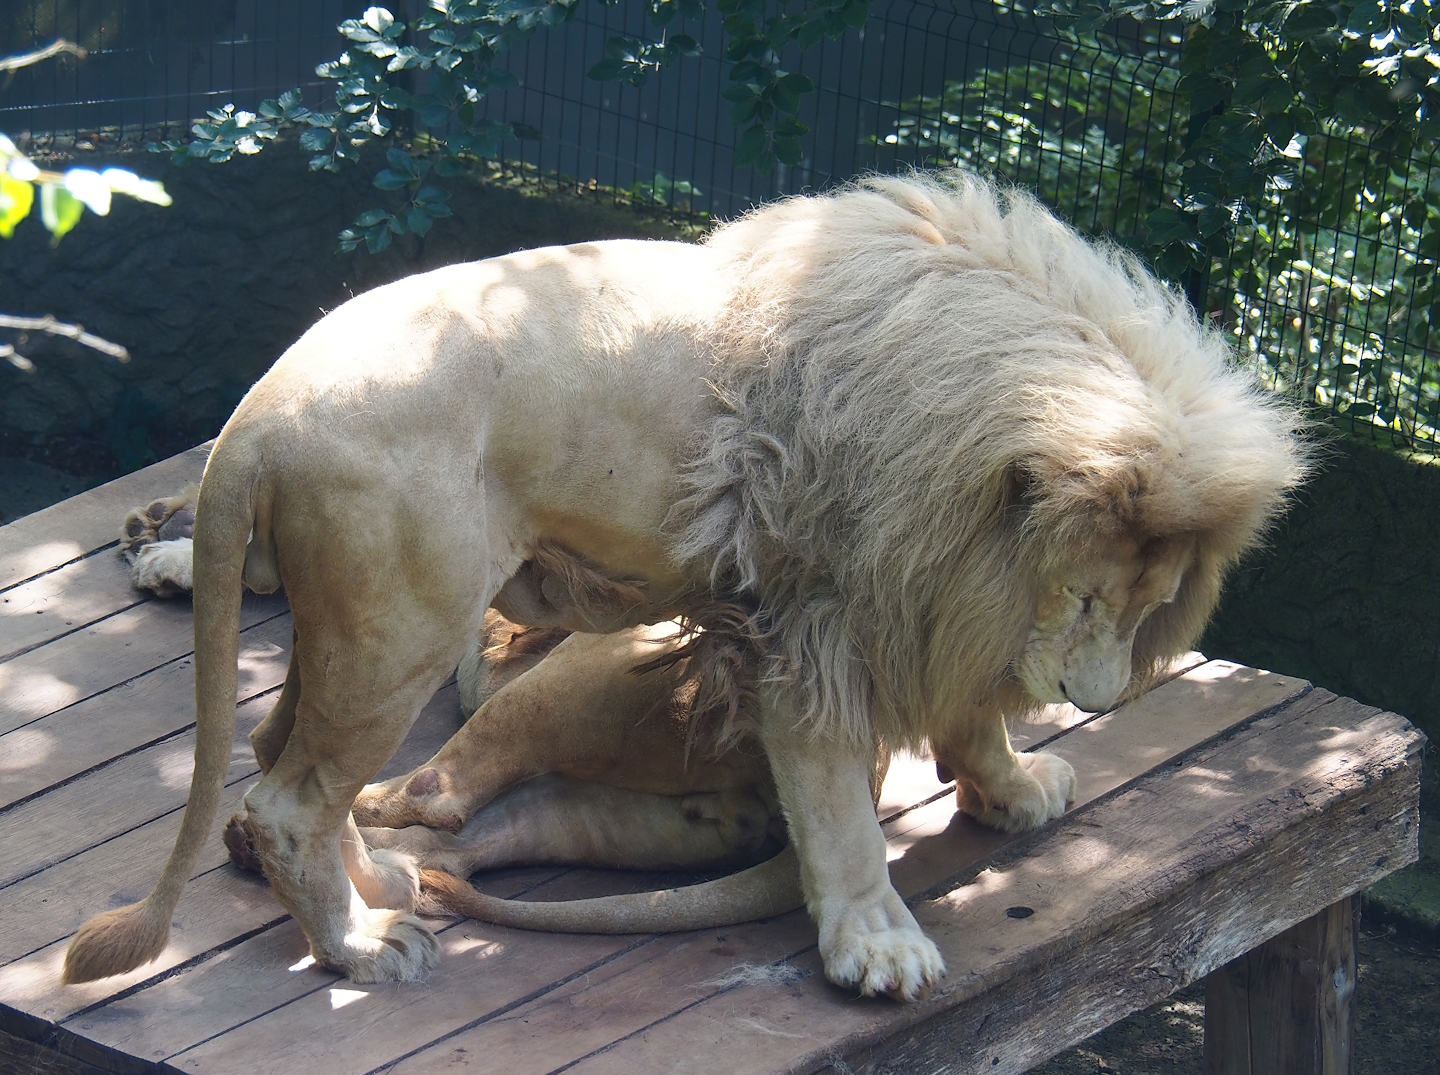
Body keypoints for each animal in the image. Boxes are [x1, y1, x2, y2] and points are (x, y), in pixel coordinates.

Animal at [64, 170, 1306, 1001]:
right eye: (1089, 597)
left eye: (1146, 608)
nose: (1093, 698)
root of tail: (258, 415)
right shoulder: (820, 621)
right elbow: (840, 809)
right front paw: (877, 946)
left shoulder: (934, 604)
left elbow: (970, 714)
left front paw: (1010, 785)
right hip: (399, 629)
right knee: (291, 800)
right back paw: (360, 946)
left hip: (350, 632)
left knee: (288, 770)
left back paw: (375, 892)